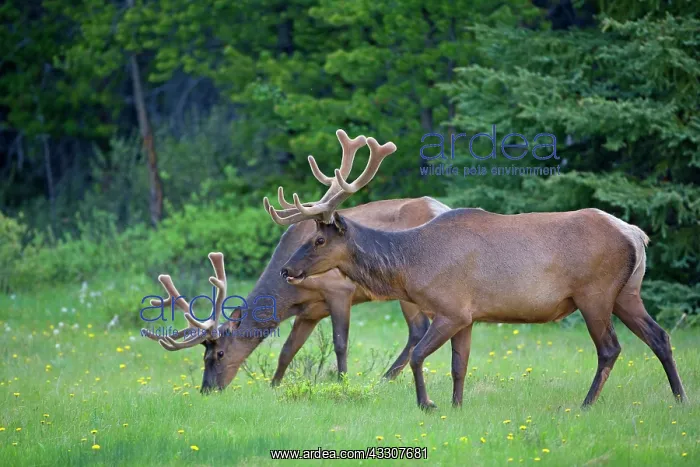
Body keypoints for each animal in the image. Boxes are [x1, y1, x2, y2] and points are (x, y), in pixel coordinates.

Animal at [141, 130, 450, 391]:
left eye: (219, 353)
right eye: (203, 356)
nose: (207, 389)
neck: (291, 295)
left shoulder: (339, 290)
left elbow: (340, 344)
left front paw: (342, 382)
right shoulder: (309, 311)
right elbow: (287, 349)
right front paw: (274, 386)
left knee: (418, 329)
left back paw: (385, 379)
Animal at [271, 129, 687, 410]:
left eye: (319, 240)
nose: (287, 270)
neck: (412, 264)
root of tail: (636, 234)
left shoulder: (451, 308)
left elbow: (420, 355)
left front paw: (427, 404)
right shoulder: (468, 316)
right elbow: (460, 365)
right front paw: (456, 406)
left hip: (595, 293)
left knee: (610, 348)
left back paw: (586, 405)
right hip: (627, 292)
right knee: (660, 336)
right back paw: (681, 399)